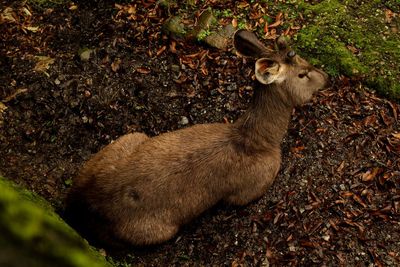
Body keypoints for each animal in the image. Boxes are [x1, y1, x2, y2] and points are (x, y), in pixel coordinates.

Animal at [65, 29, 328, 247]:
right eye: (302, 74)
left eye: (304, 60)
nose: (326, 76)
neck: (261, 140)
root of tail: (81, 203)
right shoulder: (253, 186)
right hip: (157, 231)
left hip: (128, 138)